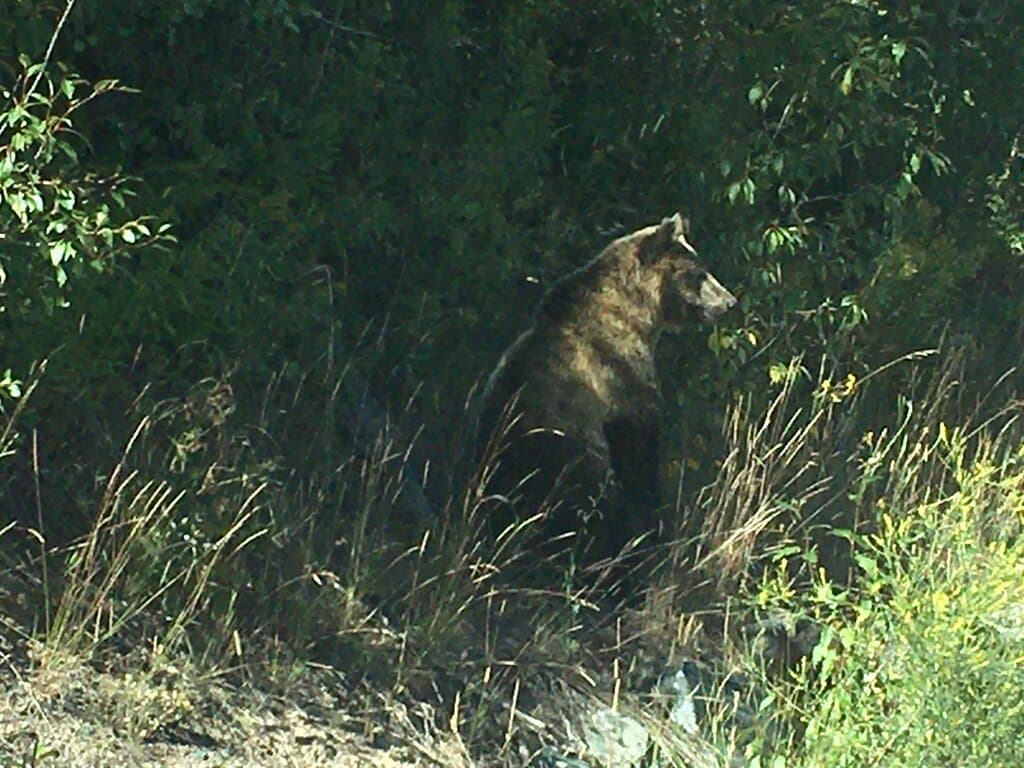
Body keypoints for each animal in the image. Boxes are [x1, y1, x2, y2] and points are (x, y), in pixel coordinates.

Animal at [475, 213, 737, 566]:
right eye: (699, 273)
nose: (729, 302)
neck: (639, 314)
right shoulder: (620, 379)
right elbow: (639, 453)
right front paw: (656, 523)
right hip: (566, 461)